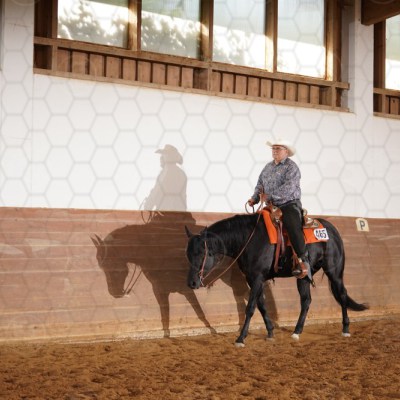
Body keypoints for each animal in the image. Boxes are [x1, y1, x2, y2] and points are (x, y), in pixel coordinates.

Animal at [185, 212, 369, 347]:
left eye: (201, 253)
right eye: (188, 254)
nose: (192, 283)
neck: (248, 239)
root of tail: (332, 230)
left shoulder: (257, 278)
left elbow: (250, 308)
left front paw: (241, 338)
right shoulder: (253, 279)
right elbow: (261, 305)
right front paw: (270, 332)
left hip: (334, 271)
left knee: (342, 295)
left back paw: (345, 329)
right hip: (303, 277)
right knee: (306, 301)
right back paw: (296, 331)